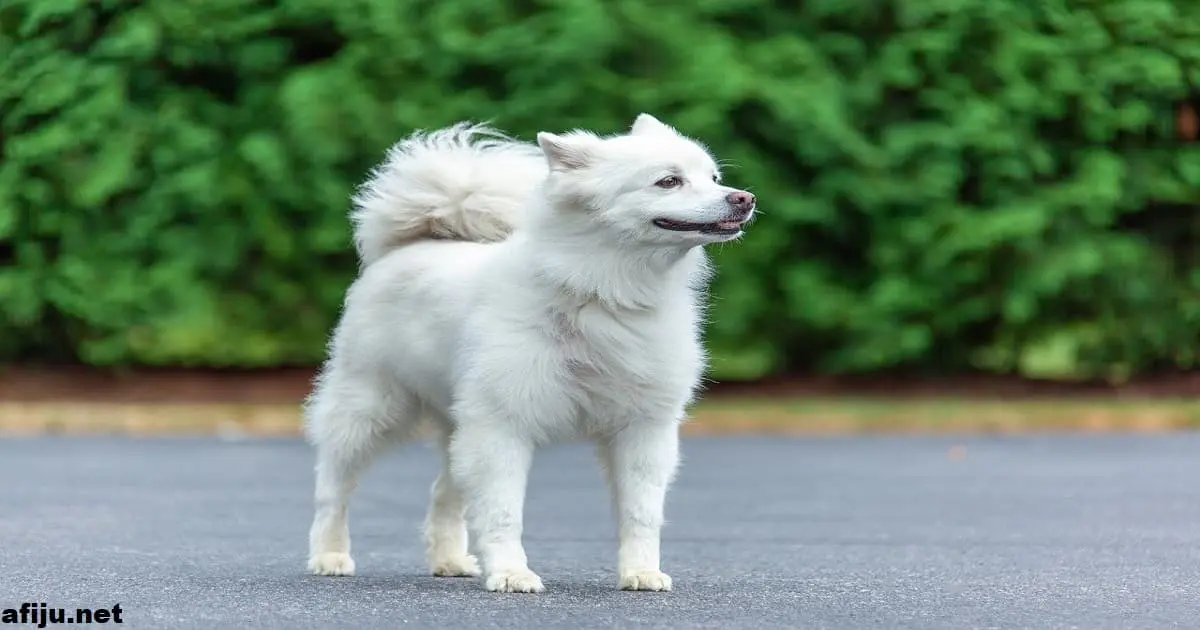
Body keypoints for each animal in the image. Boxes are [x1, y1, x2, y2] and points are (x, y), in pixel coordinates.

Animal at [307, 112, 758, 590]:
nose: (744, 198)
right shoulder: (502, 425)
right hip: (370, 409)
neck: (602, 292)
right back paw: (330, 556)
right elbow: (504, 512)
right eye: (669, 181)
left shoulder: (643, 428)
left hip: (457, 425)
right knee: (332, 489)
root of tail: (411, 245)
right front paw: (510, 574)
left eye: (713, 178)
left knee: (443, 493)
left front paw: (641, 572)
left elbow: (641, 513)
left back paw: (450, 560)